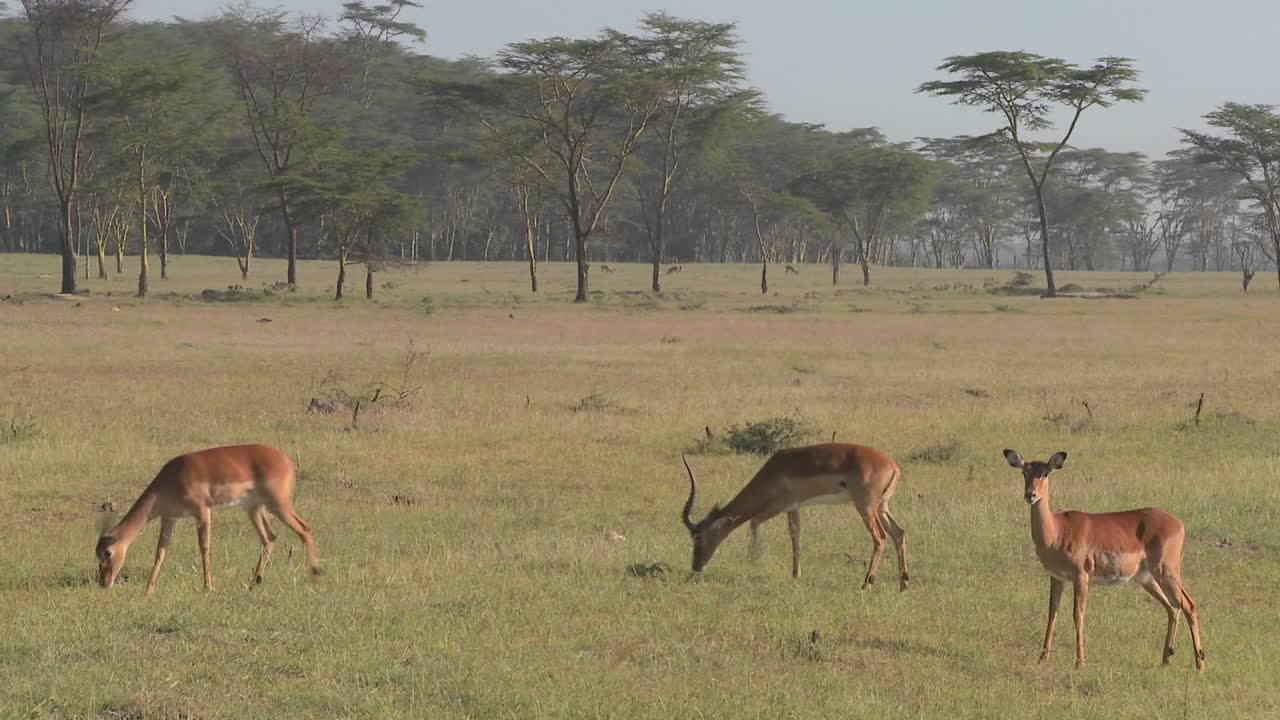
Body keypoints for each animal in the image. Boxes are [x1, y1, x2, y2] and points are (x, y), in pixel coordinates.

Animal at [95, 444, 320, 596]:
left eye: (108, 552)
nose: (103, 582)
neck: (172, 479)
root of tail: (288, 462)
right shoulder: (169, 518)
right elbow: (160, 552)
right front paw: (148, 590)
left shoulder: (202, 512)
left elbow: (204, 547)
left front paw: (208, 586)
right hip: (255, 509)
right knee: (270, 537)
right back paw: (254, 582)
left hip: (279, 506)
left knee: (305, 529)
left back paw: (315, 577)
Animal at [680, 443, 907, 590]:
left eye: (699, 537)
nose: (695, 566)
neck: (774, 471)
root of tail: (894, 466)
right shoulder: (794, 508)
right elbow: (795, 536)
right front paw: (796, 574)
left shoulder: (779, 506)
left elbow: (754, 522)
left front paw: (753, 561)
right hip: (882, 508)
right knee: (899, 533)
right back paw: (903, 583)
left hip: (866, 508)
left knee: (880, 538)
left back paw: (867, 583)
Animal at [1003, 449, 1205, 671]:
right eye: (1024, 472)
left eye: (1045, 473)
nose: (1030, 495)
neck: (1057, 530)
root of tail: (1179, 523)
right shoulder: (1057, 577)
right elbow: (1052, 614)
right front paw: (1042, 659)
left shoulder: (1081, 576)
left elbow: (1078, 615)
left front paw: (1080, 662)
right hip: (1147, 578)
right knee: (1173, 608)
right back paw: (1166, 659)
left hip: (1167, 572)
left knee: (1189, 606)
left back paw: (1200, 665)